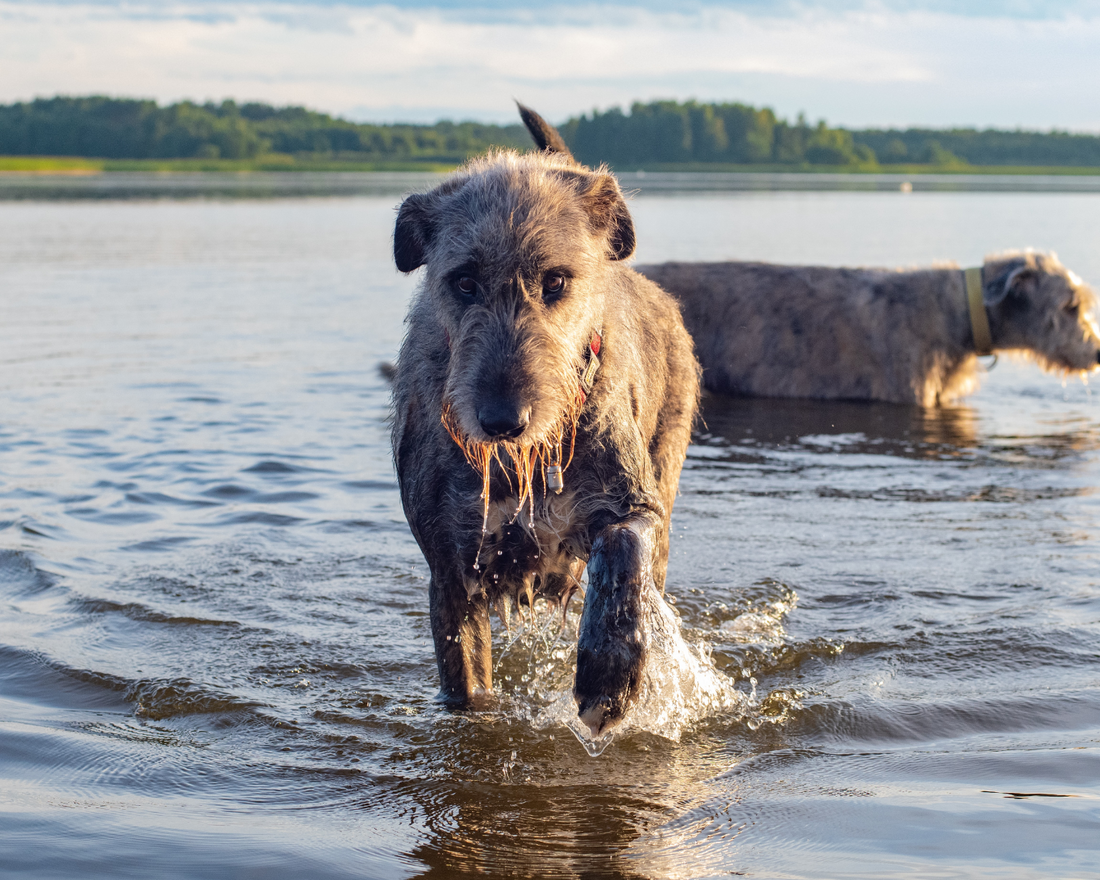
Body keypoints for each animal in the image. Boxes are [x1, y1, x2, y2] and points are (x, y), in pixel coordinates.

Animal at [389, 105, 695, 734]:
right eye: (463, 280)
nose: (503, 420)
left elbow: (622, 544)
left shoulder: (632, 501)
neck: (522, 462)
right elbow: (466, 681)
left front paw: (607, 675)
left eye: (556, 280)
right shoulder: (451, 569)